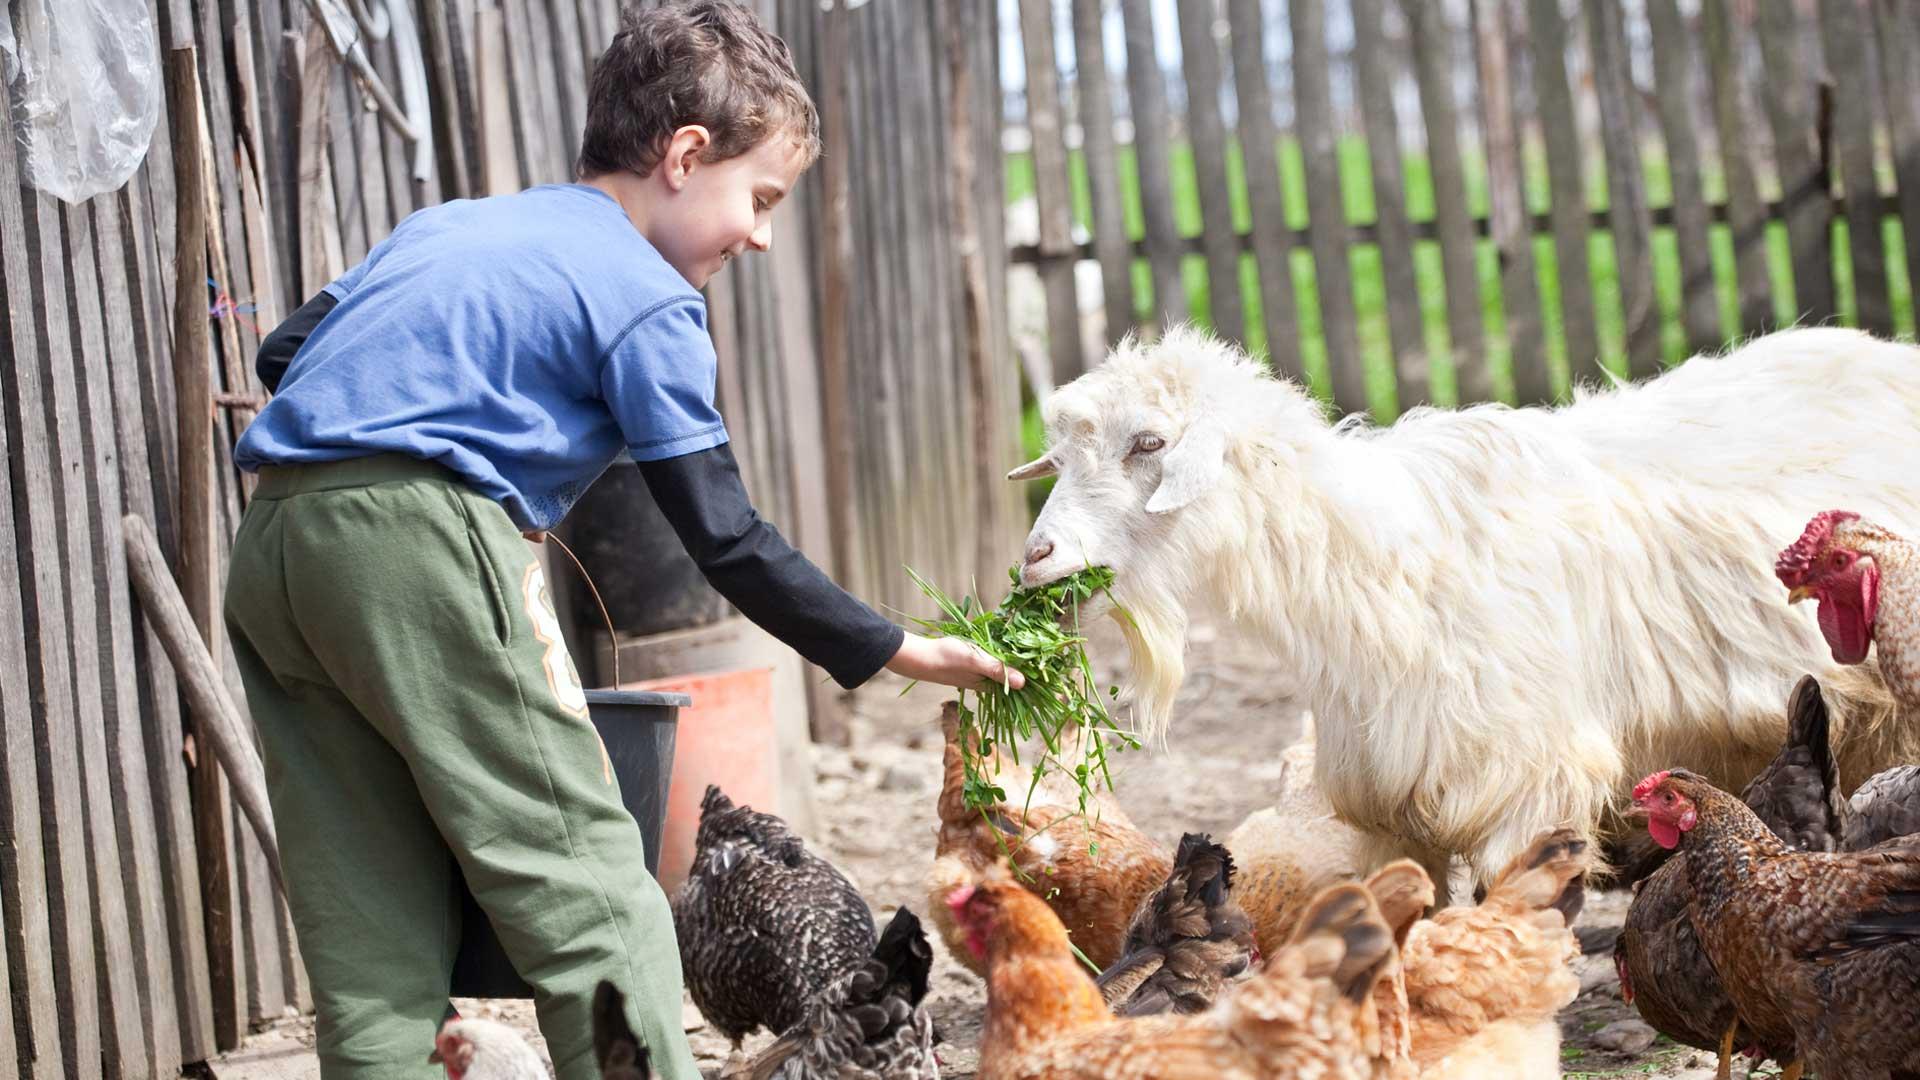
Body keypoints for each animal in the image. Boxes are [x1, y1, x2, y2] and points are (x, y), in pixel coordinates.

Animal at [1021, 320, 1920, 891]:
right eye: (1059, 456)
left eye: (1149, 444)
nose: (1035, 558)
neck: (1377, 561)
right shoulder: (1391, 810)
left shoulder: (1527, 788)